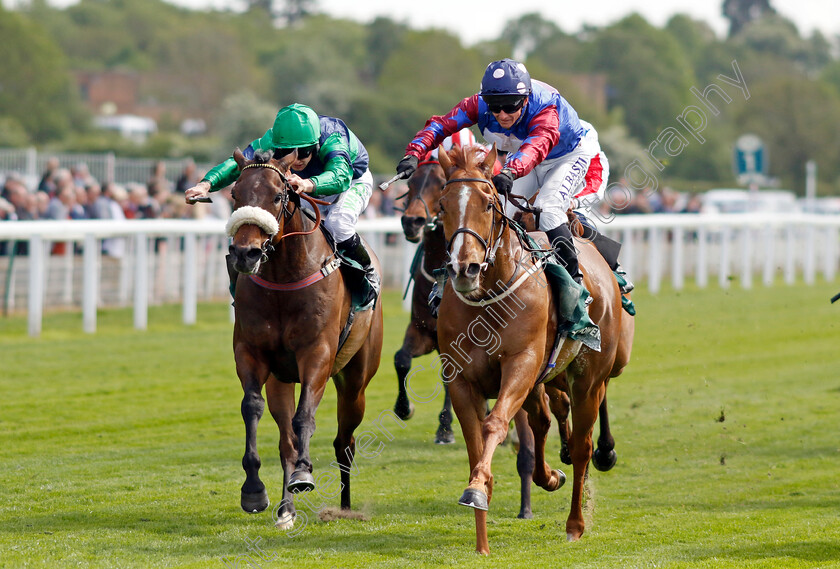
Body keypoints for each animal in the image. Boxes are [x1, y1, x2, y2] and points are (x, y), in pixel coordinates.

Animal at [223, 148, 380, 528]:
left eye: (277, 196)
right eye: (235, 194)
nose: (245, 253)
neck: (283, 277)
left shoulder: (317, 353)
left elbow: (304, 416)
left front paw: (305, 474)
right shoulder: (250, 352)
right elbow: (252, 407)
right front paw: (254, 490)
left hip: (355, 381)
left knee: (345, 441)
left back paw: (345, 505)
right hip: (281, 380)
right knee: (286, 442)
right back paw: (286, 509)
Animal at [434, 145, 632, 552]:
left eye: (488, 203)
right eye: (443, 205)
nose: (464, 268)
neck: (489, 299)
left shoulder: (521, 364)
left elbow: (494, 424)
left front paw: (477, 490)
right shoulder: (460, 379)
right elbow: (476, 442)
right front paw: (481, 532)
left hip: (588, 378)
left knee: (583, 444)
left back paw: (575, 522)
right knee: (544, 422)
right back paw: (551, 475)